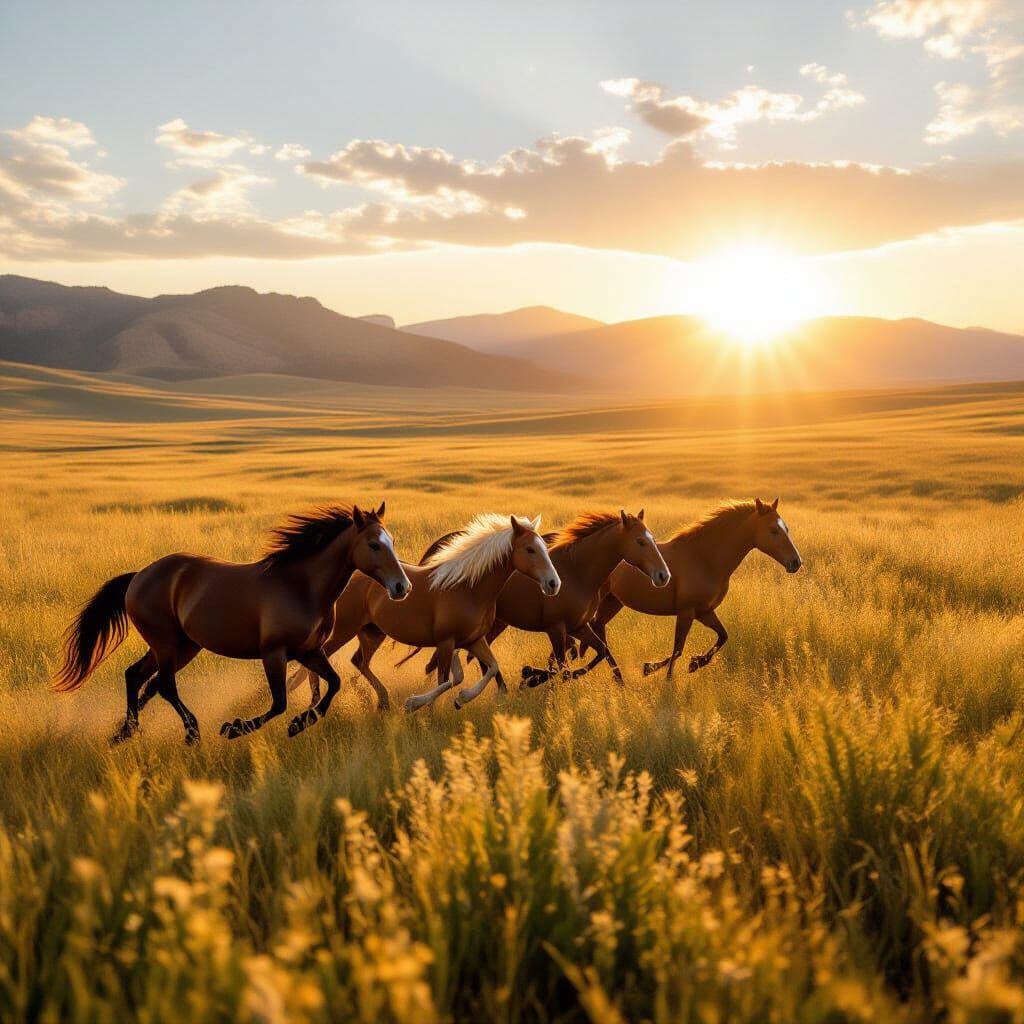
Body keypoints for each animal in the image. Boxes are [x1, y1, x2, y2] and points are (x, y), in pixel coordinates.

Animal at [52, 503, 410, 744]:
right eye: (374, 545)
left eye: (391, 541)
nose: (401, 587)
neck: (301, 586)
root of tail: (139, 575)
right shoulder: (274, 653)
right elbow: (279, 702)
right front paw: (237, 727)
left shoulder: (310, 652)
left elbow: (333, 683)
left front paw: (301, 722)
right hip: (166, 643)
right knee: (163, 685)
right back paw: (192, 732)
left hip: (183, 646)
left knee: (137, 676)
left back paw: (127, 731)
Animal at [286, 514, 559, 714]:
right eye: (530, 550)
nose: (553, 583)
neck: (469, 588)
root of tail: (350, 576)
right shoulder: (446, 642)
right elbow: (446, 680)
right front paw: (417, 705)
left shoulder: (473, 640)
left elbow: (489, 668)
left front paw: (462, 699)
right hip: (345, 629)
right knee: (320, 661)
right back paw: (315, 703)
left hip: (372, 632)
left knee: (359, 661)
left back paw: (381, 701)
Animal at [399, 510, 671, 687]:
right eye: (640, 542)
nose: (663, 575)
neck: (578, 571)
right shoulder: (557, 628)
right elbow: (562, 666)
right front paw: (535, 678)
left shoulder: (579, 626)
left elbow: (603, 653)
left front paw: (620, 686)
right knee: (440, 662)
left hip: (491, 626)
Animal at [585, 498, 801, 678]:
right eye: (773, 530)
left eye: (786, 528)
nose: (796, 562)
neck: (704, 559)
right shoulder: (687, 612)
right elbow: (678, 649)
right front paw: (666, 677)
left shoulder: (704, 611)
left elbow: (722, 636)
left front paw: (691, 663)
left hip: (613, 601)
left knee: (598, 627)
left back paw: (617, 676)